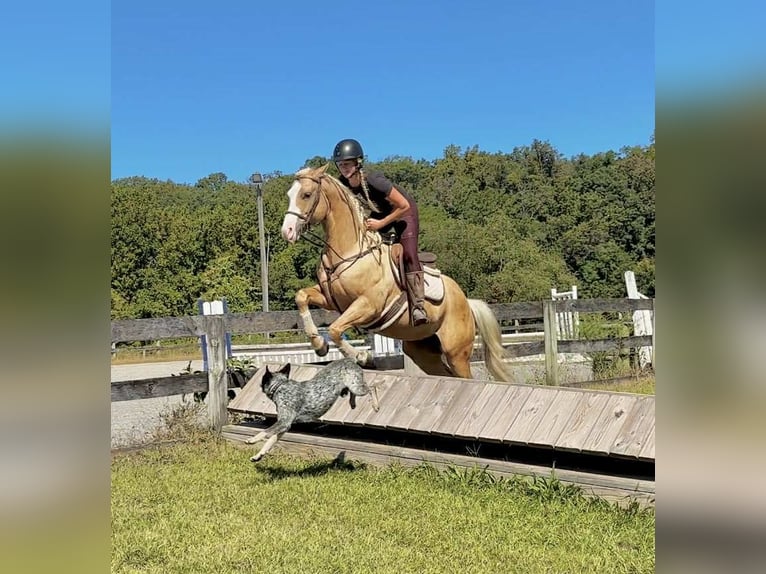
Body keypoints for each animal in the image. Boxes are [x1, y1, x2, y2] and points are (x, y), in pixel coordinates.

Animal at [279, 163, 513, 382]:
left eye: (306, 195)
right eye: (289, 194)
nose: (286, 232)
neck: (350, 250)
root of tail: (466, 301)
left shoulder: (369, 305)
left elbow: (336, 329)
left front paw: (363, 357)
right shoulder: (332, 300)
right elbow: (301, 297)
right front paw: (319, 345)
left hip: (457, 353)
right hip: (423, 350)